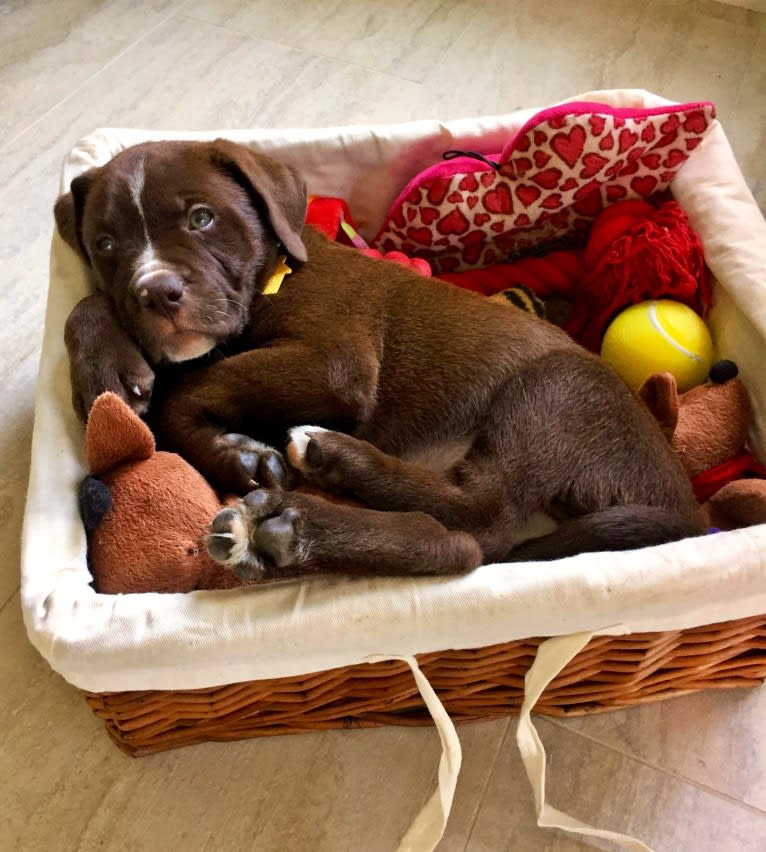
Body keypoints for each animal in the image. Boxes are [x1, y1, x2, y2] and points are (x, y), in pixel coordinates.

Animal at [55, 140, 708, 584]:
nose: (157, 292)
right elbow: (99, 312)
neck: (273, 274)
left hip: (557, 388)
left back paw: (321, 476)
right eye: (105, 246)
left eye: (201, 218)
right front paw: (112, 372)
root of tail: (683, 506)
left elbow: (187, 388)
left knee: (480, 515)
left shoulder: (335, 364)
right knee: (461, 544)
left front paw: (232, 451)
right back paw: (288, 530)